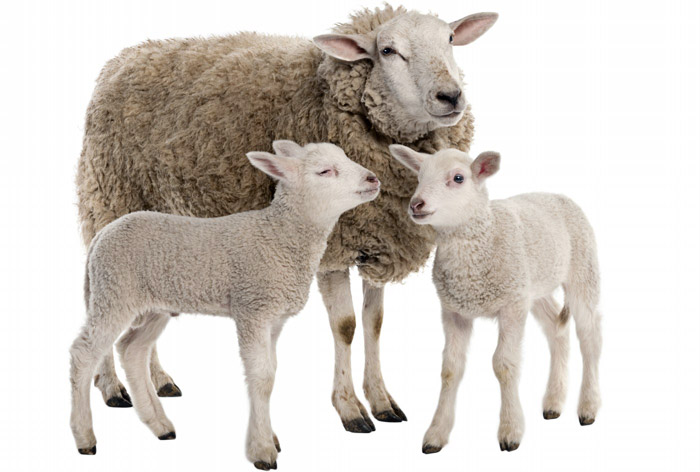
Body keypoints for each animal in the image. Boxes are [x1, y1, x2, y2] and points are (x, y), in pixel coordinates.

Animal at [70, 141, 380, 469]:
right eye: (325, 171)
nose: (373, 179)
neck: (280, 235)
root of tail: (101, 235)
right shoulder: (252, 308)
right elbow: (262, 377)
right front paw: (262, 450)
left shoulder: (274, 317)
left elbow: (271, 372)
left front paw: (269, 437)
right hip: (114, 292)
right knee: (84, 354)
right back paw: (85, 438)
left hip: (151, 304)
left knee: (132, 350)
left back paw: (159, 425)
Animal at [75, 4, 499, 431]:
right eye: (387, 50)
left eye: (450, 40)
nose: (450, 95)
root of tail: (125, 57)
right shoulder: (334, 248)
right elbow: (346, 326)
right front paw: (350, 408)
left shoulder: (375, 238)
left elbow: (374, 323)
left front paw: (381, 400)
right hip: (109, 203)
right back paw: (112, 387)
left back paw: (158, 380)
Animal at [389, 144, 602, 453]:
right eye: (419, 176)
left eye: (458, 178)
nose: (416, 204)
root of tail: (555, 194)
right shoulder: (454, 309)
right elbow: (450, 369)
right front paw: (436, 434)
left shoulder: (511, 306)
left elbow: (504, 364)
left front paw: (510, 430)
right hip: (533, 286)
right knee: (557, 331)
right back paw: (553, 402)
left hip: (582, 269)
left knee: (590, 338)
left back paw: (588, 407)